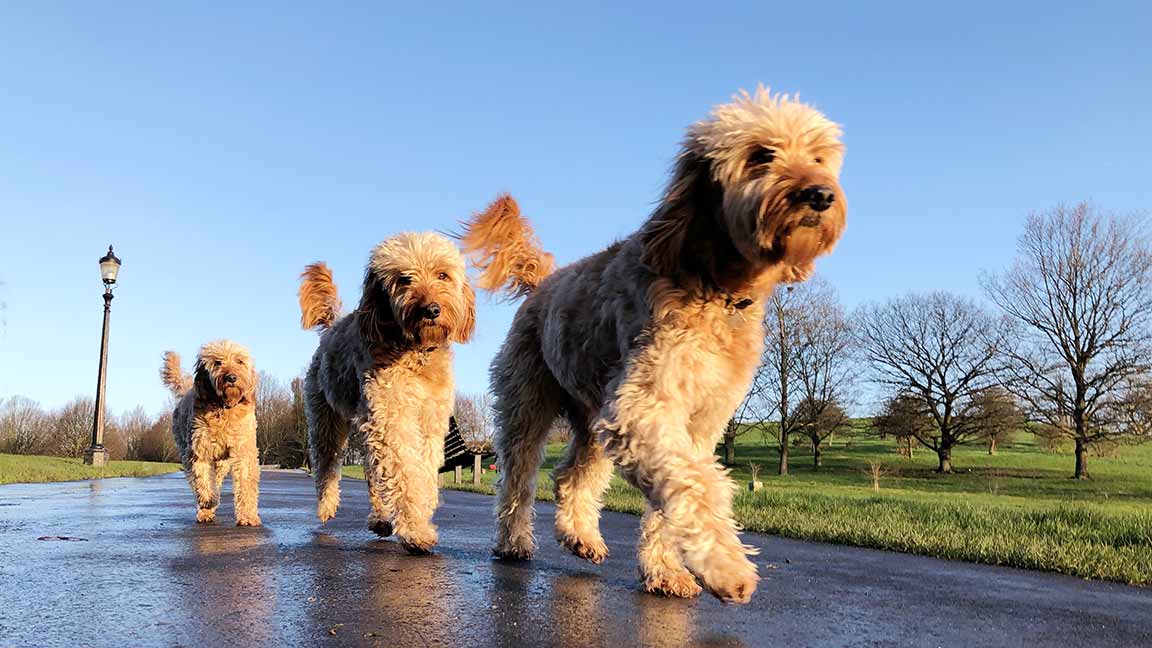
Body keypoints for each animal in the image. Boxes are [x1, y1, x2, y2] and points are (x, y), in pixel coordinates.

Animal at [161, 338, 262, 525]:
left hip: (222, 463)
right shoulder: (199, 450)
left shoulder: (243, 450)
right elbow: (203, 480)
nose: (231, 378)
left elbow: (245, 484)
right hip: (186, 450)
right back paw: (205, 510)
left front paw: (248, 516)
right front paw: (208, 501)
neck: (224, 407)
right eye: (218, 362)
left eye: (239, 361)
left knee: (217, 478)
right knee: (198, 481)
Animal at [301, 229, 476, 553]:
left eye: (442, 275)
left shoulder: (430, 423)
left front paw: (419, 514)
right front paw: (416, 530)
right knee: (326, 466)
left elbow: (422, 473)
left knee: (373, 474)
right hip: (325, 421)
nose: (431, 310)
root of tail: (331, 328)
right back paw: (326, 506)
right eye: (404, 279)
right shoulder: (391, 420)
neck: (415, 351)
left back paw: (381, 518)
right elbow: (405, 473)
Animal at [463, 88, 852, 604]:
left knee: (570, 476)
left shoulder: (700, 422)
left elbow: (681, 489)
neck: (717, 286)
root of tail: (545, 280)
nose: (821, 194)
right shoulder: (642, 406)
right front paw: (727, 566)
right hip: (527, 403)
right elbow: (695, 486)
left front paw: (667, 569)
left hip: (592, 416)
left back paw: (581, 536)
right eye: (760, 155)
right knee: (517, 477)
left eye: (818, 156)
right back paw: (513, 542)